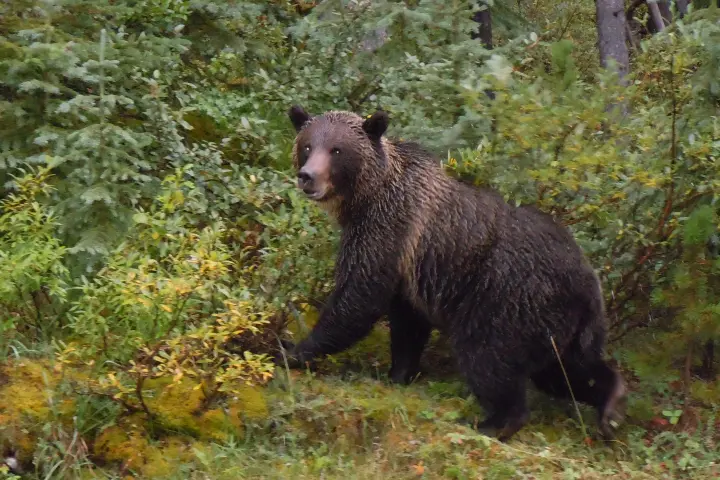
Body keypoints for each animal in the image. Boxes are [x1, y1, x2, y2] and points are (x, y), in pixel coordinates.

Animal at [280, 105, 626, 442]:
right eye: (307, 145)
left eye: (336, 149)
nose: (307, 176)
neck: (365, 197)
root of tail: (588, 280)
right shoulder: (409, 274)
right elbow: (407, 326)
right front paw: (398, 374)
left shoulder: (386, 231)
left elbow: (357, 297)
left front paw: (294, 349)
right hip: (563, 324)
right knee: (566, 370)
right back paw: (610, 405)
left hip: (509, 300)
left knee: (488, 357)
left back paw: (493, 423)